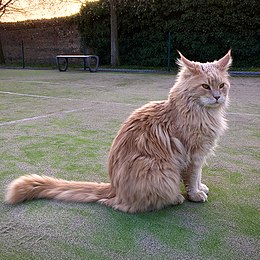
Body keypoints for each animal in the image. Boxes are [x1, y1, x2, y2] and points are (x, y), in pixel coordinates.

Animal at [4, 50, 232, 213]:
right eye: (205, 86)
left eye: (222, 85)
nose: (217, 97)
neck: (202, 113)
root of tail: (113, 186)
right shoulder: (193, 154)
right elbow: (192, 178)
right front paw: (195, 195)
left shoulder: (201, 154)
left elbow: (198, 177)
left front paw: (201, 188)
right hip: (160, 171)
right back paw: (176, 198)